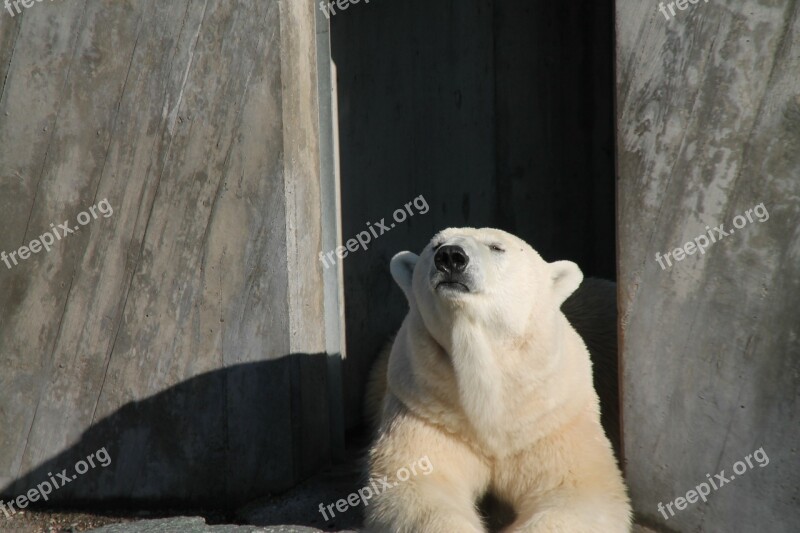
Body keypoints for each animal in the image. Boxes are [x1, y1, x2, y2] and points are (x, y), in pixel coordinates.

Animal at [362, 228, 632, 532]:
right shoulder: (426, 409)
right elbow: (418, 484)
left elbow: (576, 492)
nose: (451, 256)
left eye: (496, 247)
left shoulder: (549, 421)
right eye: (435, 246)